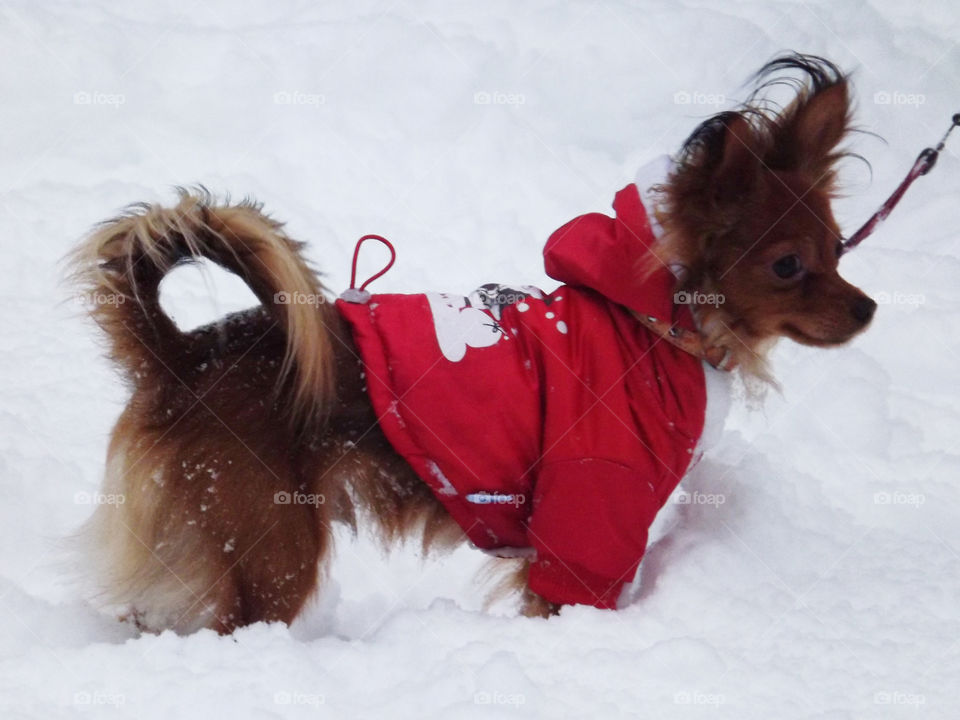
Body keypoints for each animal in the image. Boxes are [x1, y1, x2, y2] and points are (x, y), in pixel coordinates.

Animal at [69, 53, 876, 632]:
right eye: (788, 266)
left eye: (839, 248)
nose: (869, 308)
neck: (655, 322)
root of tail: (180, 358)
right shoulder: (589, 513)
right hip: (273, 547)